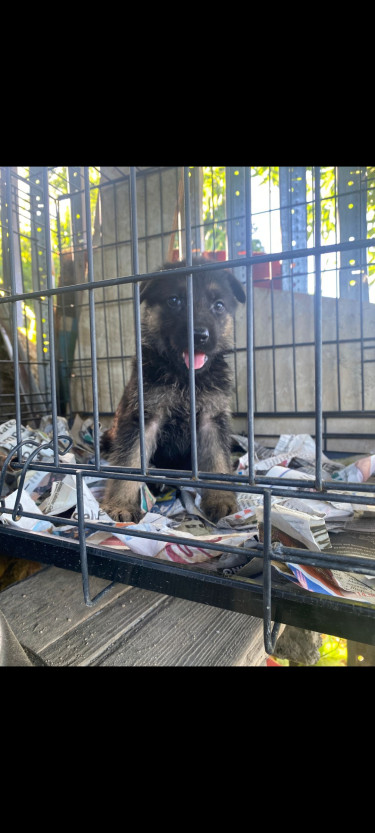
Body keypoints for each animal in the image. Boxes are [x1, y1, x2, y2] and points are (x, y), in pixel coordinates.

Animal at [100, 256, 247, 524]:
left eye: (218, 305)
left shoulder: (211, 420)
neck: (186, 379)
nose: (199, 335)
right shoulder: (143, 417)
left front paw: (221, 498)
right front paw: (120, 504)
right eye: (175, 301)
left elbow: (218, 461)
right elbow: (129, 461)